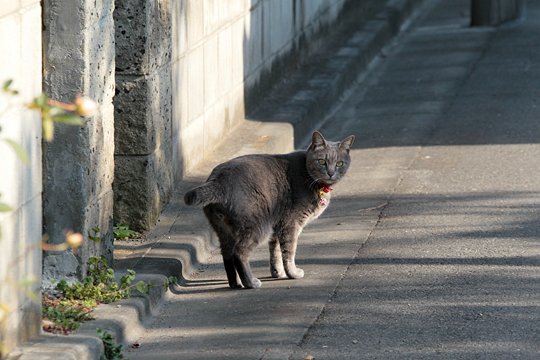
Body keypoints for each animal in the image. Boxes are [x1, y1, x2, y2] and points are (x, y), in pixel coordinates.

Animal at [186, 131, 354, 288]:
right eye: (322, 162)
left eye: (339, 163)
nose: (331, 173)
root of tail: (217, 181)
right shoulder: (291, 223)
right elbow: (289, 250)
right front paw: (293, 273)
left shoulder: (277, 224)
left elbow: (275, 250)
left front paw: (277, 272)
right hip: (257, 226)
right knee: (239, 252)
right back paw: (251, 282)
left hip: (224, 230)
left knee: (227, 255)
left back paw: (235, 284)